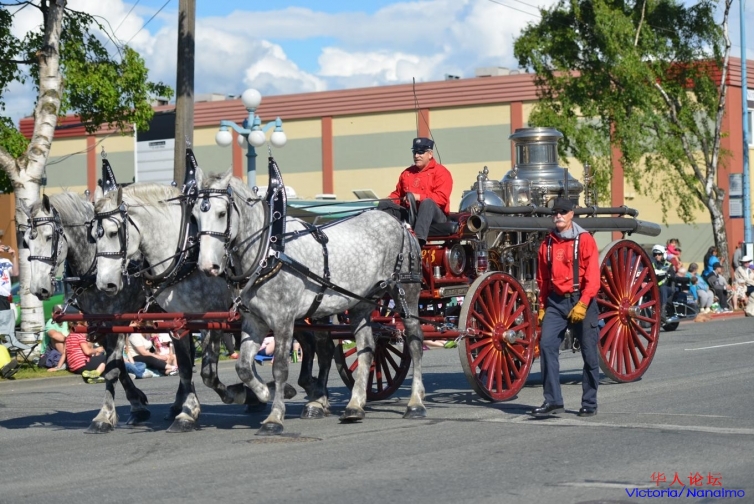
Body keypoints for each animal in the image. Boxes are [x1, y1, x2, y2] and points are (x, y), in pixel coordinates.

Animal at [19, 192, 150, 433]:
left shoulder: (117, 321)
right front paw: (137, 405)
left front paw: (104, 417)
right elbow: (117, 366)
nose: (38, 289)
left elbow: (113, 370)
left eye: (49, 237)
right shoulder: (100, 324)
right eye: (25, 242)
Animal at [91, 182, 324, 430]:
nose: (105, 284)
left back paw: (317, 399)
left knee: (323, 345)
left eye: (113, 232)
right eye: (93, 236)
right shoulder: (177, 322)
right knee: (310, 343)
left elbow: (208, 373)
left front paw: (240, 393)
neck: (185, 254)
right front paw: (188, 412)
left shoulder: (211, 320)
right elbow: (185, 367)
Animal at [193, 166, 427, 435]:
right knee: (367, 347)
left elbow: (280, 367)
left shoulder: (283, 321)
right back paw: (355, 405)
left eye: (222, 213)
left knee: (414, 342)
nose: (207, 266)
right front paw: (265, 392)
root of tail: (401, 224)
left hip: (406, 294)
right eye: (194, 216)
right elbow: (243, 367)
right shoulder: (254, 322)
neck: (268, 253)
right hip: (362, 303)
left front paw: (275, 416)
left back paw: (415, 403)